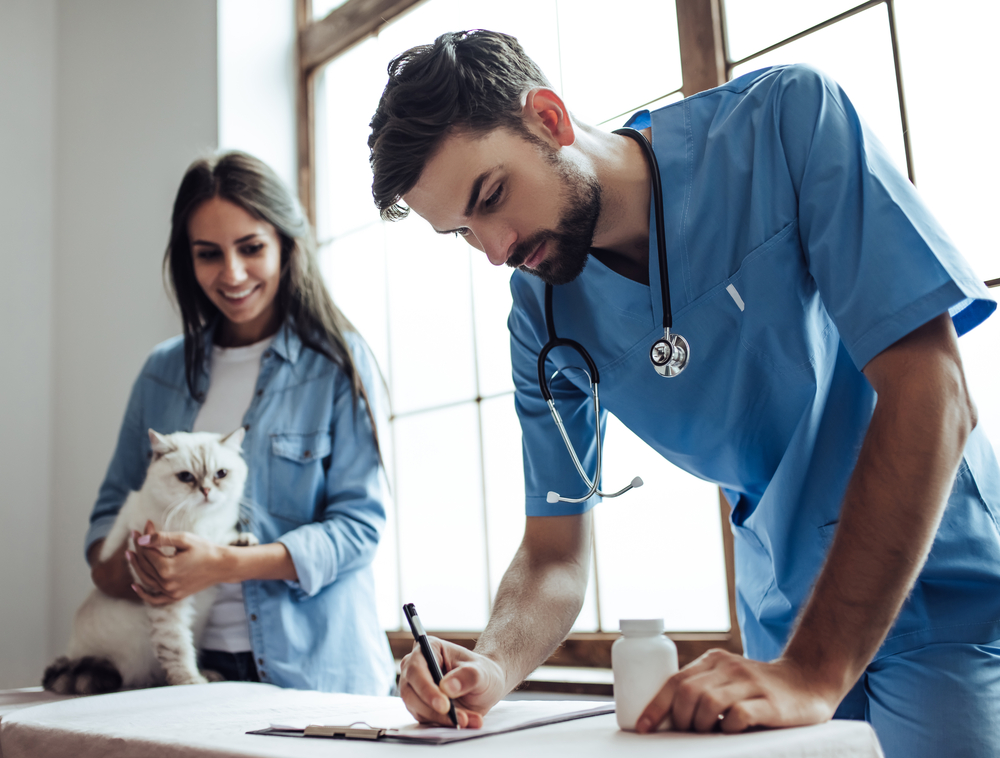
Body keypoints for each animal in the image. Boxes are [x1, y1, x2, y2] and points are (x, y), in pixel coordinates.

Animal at [44, 428, 254, 696]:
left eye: (221, 474)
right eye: (186, 477)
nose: (206, 491)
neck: (199, 523)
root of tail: (73, 656)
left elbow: (223, 541)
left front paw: (243, 541)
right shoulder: (165, 594)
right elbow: (176, 646)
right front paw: (189, 681)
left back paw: (208, 674)